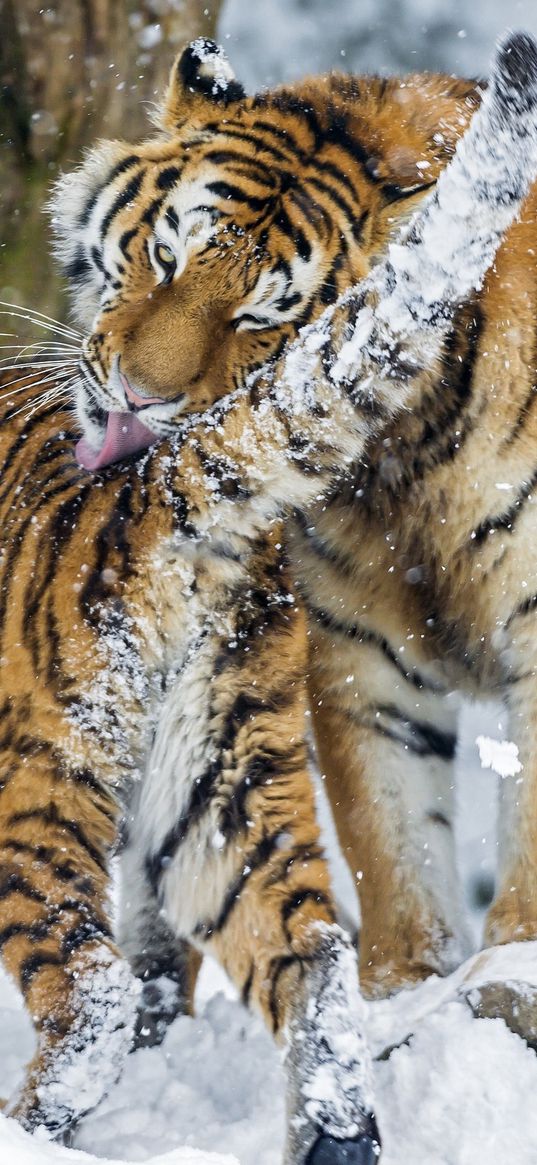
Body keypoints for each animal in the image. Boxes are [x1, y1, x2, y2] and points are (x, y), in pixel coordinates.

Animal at [1, 25, 535, 1165]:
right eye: (163, 255)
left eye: (264, 316)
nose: (140, 400)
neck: (404, 463)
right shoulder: (354, 650)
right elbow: (394, 863)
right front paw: (415, 1000)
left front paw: (504, 998)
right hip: (210, 780)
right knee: (305, 947)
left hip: (45, 765)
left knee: (90, 986)